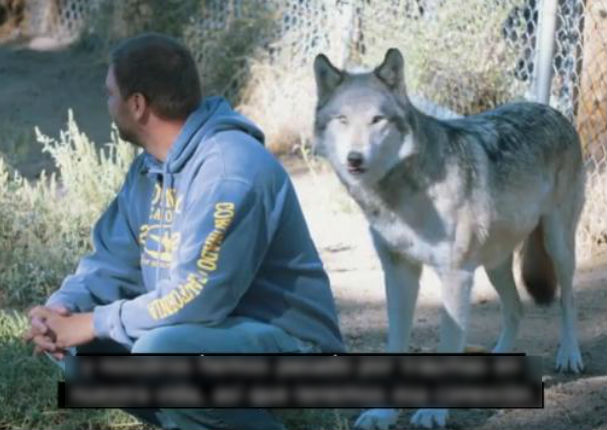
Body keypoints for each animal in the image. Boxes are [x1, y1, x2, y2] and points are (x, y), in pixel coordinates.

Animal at [314, 48, 584, 428]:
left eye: (377, 120)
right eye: (342, 119)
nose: (355, 158)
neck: (401, 195)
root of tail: (552, 110)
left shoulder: (455, 276)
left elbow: (448, 342)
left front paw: (431, 412)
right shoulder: (399, 272)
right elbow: (395, 342)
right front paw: (382, 413)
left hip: (556, 245)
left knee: (567, 300)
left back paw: (570, 355)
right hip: (494, 263)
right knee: (515, 309)